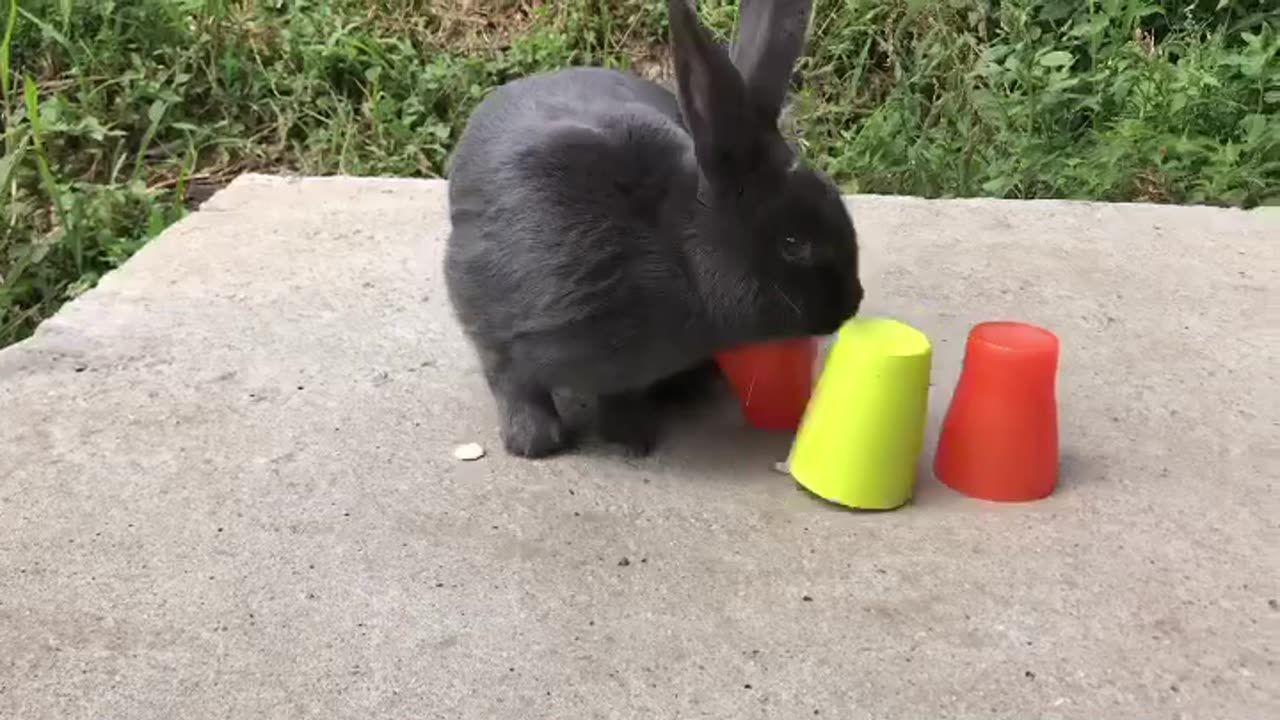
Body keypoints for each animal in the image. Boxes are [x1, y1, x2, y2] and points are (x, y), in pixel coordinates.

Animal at [445, 0, 865, 456]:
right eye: (793, 243)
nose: (851, 304)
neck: (674, 250)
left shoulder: (625, 373)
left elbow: (621, 395)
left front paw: (632, 436)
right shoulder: (494, 327)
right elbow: (512, 382)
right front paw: (535, 443)